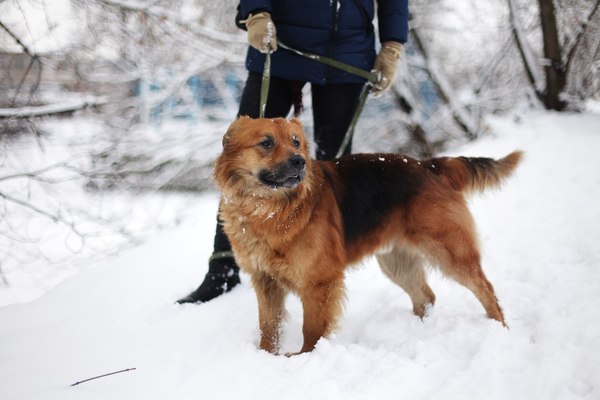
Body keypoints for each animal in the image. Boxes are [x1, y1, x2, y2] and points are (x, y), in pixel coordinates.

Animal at [213, 117, 524, 354]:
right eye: (266, 143)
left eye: (296, 142)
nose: (299, 162)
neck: (269, 210)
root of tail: (429, 166)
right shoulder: (265, 281)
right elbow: (268, 326)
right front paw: (266, 356)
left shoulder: (318, 281)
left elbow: (311, 329)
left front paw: (304, 358)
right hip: (396, 262)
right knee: (426, 296)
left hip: (448, 251)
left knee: (485, 288)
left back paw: (499, 328)